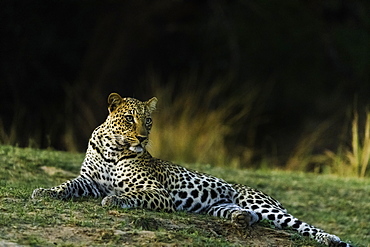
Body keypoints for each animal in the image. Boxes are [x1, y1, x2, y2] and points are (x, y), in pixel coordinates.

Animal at [34, 92, 352, 247]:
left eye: (148, 121)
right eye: (128, 119)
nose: (143, 138)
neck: (114, 148)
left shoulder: (157, 192)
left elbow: (133, 195)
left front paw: (115, 199)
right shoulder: (88, 180)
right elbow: (68, 185)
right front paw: (45, 191)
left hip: (267, 207)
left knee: (304, 226)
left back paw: (333, 240)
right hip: (220, 207)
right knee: (246, 216)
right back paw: (241, 219)